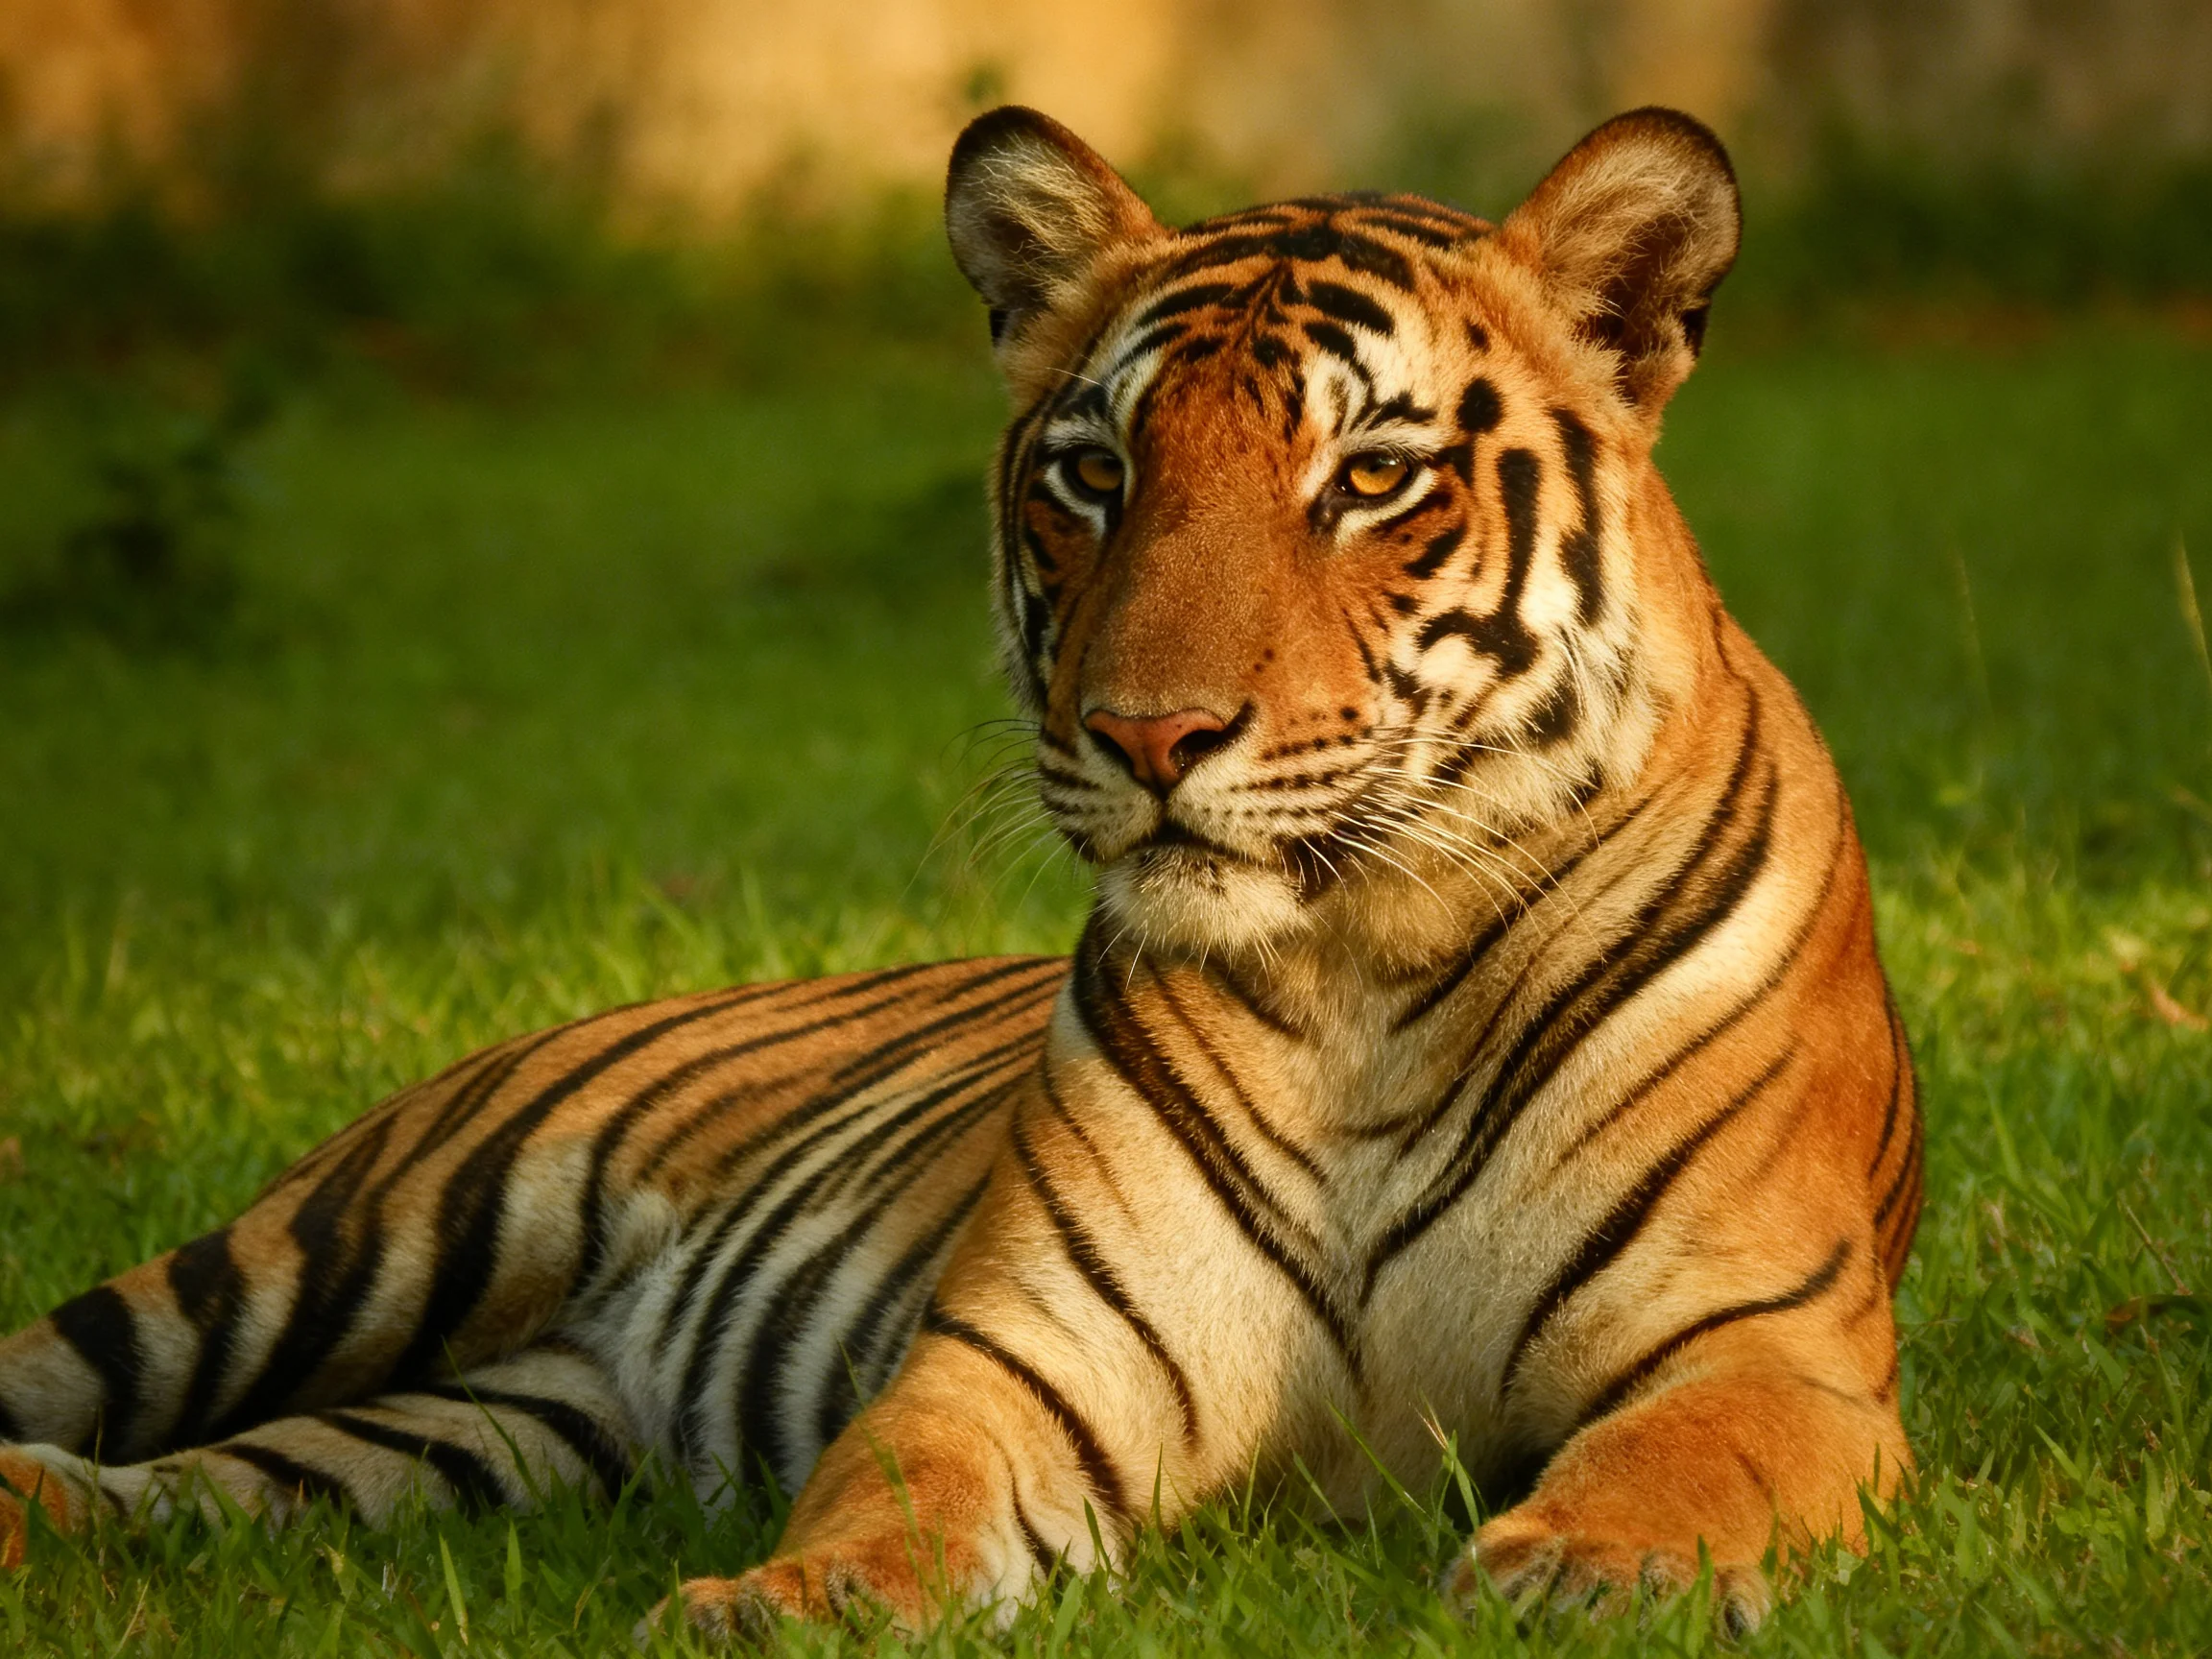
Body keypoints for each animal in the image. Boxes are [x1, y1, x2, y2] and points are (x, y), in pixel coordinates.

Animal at [0, 104, 1921, 1639]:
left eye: (1373, 477)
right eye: (1094, 470)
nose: (1152, 736)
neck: (1363, 969)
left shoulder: (1760, 1341)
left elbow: (1689, 1460)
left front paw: (1585, 1571)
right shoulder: (1032, 1354)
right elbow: (897, 1490)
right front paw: (785, 1606)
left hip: (483, 1433)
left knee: (202, 1491)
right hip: (341, 1248)